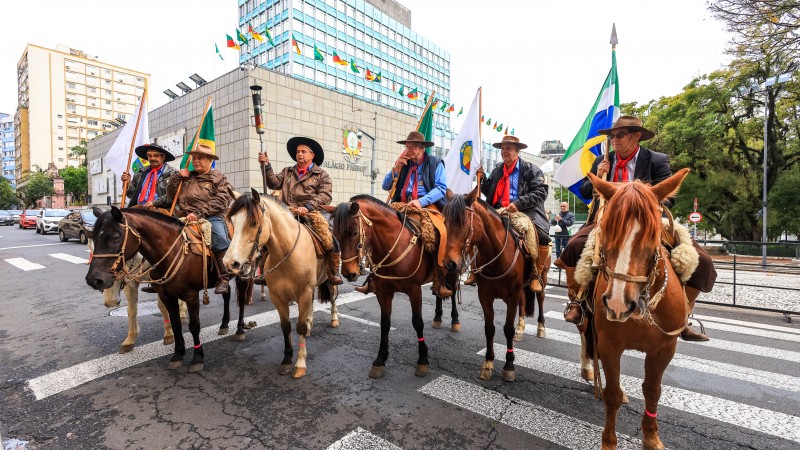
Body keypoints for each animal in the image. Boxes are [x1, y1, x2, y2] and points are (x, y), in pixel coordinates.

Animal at [86, 207, 252, 372]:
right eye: (93, 239)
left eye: (115, 237)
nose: (93, 280)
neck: (171, 252)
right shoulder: (165, 294)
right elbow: (174, 323)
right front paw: (177, 354)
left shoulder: (191, 295)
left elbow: (194, 326)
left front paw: (197, 357)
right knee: (226, 294)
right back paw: (224, 325)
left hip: (244, 274)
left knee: (241, 300)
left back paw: (239, 330)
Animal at [222, 190, 338, 380]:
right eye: (232, 221)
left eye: (253, 223)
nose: (230, 263)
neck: (287, 253)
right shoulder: (278, 297)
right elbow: (286, 327)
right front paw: (286, 360)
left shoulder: (304, 293)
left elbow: (299, 327)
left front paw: (300, 364)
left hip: (329, 279)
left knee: (333, 295)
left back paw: (334, 319)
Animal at [324, 195, 460, 378]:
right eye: (335, 234)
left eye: (354, 232)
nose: (348, 273)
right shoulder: (383, 293)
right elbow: (385, 323)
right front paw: (380, 359)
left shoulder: (414, 291)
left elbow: (417, 322)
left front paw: (422, 359)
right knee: (439, 291)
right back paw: (438, 317)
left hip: (452, 271)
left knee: (452, 291)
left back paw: (455, 320)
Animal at [438, 188, 544, 382]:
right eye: (445, 222)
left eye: (463, 222)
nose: (450, 264)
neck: (497, 257)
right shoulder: (485, 296)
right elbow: (489, 328)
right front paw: (488, 362)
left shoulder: (512, 296)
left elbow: (507, 329)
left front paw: (509, 366)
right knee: (524, 302)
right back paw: (521, 329)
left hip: (542, 276)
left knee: (540, 297)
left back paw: (540, 327)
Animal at [584, 170, 692, 450]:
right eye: (606, 231)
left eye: (653, 236)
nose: (618, 304)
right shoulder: (609, 345)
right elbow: (611, 393)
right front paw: (609, 442)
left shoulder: (664, 349)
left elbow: (652, 391)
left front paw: (651, 436)